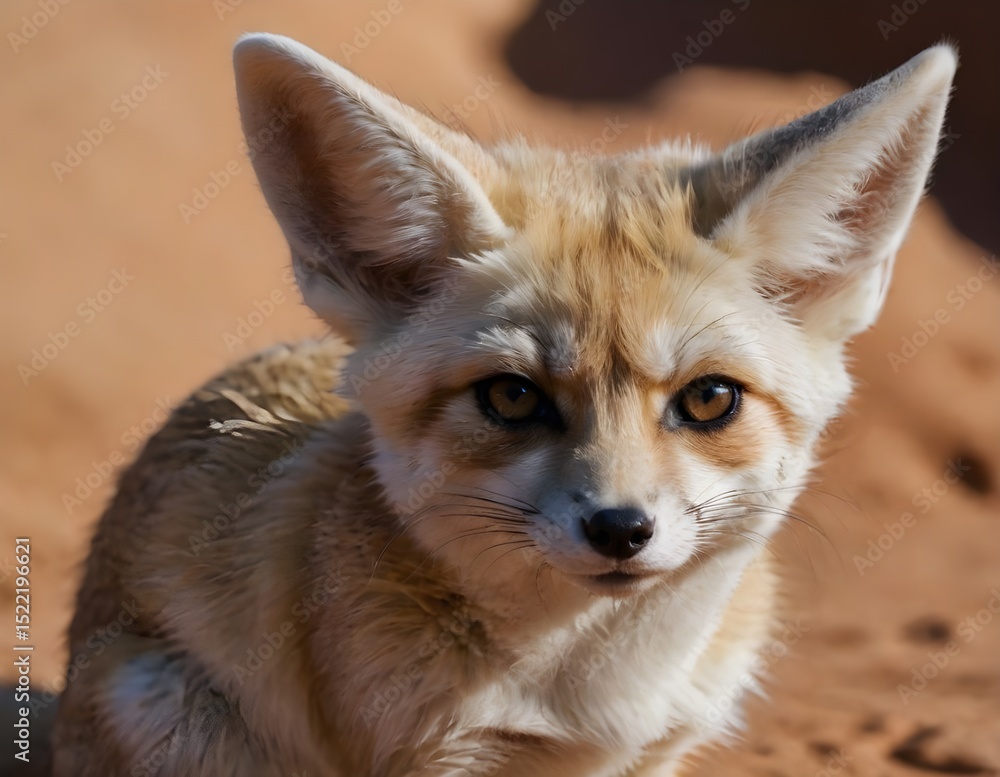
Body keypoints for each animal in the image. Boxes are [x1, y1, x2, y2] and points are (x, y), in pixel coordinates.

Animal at [52, 33, 956, 776]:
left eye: (708, 399)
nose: (620, 529)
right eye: (513, 397)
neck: (597, 692)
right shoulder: (435, 757)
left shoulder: (654, 753)